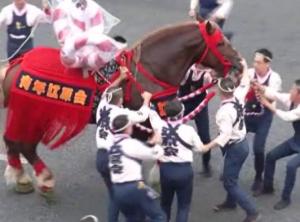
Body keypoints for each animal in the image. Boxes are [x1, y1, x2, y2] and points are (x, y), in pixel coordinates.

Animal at [1, 20, 243, 200]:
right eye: (220, 42)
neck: (151, 71)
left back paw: (21, 177)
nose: (239, 65)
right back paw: (44, 179)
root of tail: (16, 64)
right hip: (32, 114)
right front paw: (153, 179)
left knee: (13, 142)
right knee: (24, 145)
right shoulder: (142, 121)